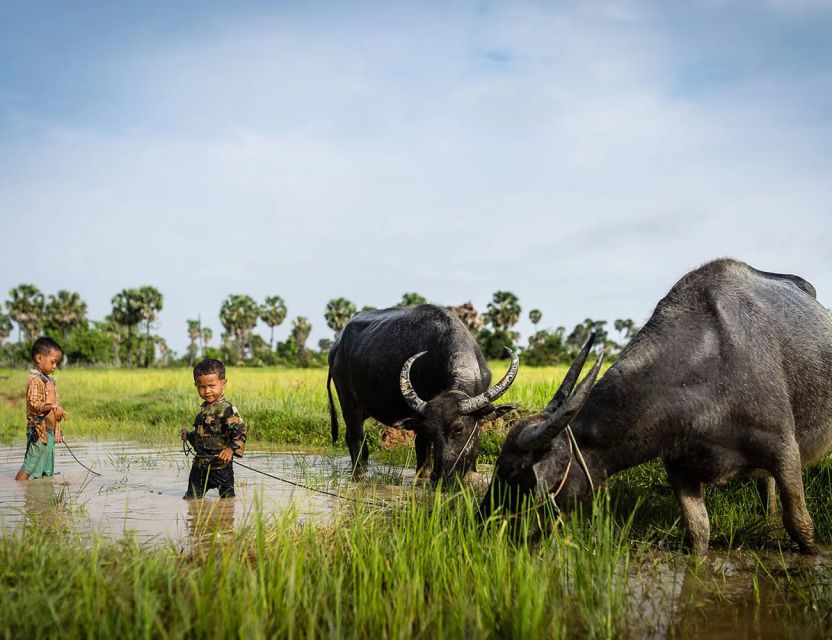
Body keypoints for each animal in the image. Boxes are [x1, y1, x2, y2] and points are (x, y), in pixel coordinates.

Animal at [326, 304, 516, 480]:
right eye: (431, 431)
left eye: (458, 429)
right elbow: (422, 447)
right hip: (348, 403)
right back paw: (357, 473)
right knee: (354, 437)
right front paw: (423, 476)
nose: (439, 476)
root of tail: (336, 347)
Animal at [478, 258, 832, 552]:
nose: (482, 524)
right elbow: (699, 534)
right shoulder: (679, 467)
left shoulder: (785, 450)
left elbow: (801, 527)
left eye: (511, 473)